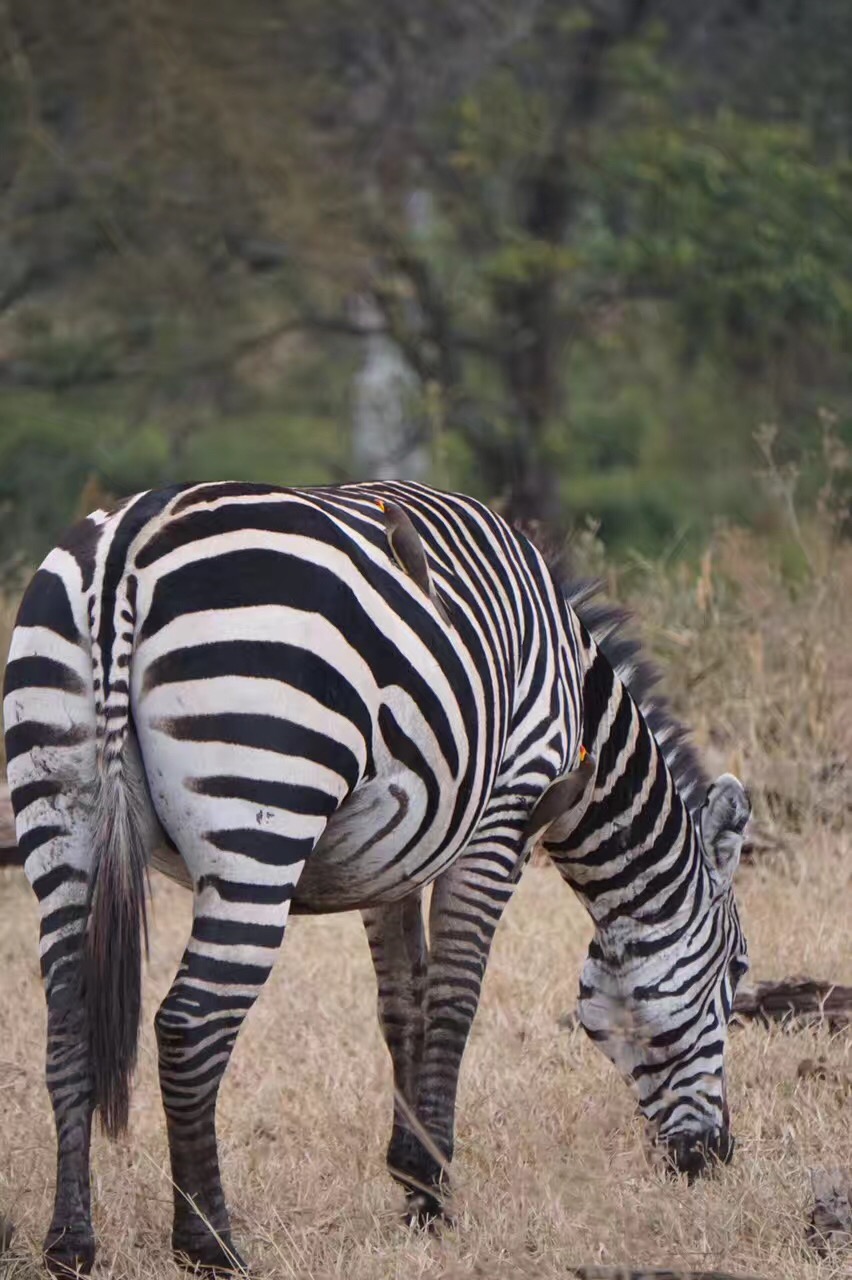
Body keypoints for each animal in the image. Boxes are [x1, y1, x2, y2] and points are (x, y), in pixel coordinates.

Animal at [0, 481, 747, 1269]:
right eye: (737, 975)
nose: (717, 1157)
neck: (577, 692)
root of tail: (126, 548)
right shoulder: (504, 814)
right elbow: (455, 997)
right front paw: (436, 1193)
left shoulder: (397, 848)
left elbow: (402, 1004)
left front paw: (411, 1175)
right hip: (262, 810)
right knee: (189, 1025)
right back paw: (211, 1246)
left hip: (59, 808)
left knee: (69, 1026)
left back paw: (70, 1244)